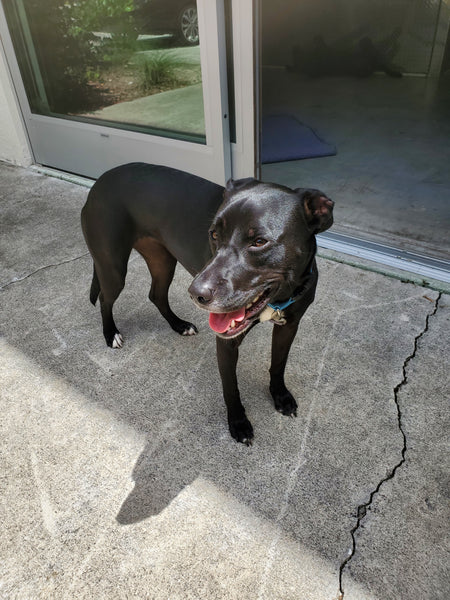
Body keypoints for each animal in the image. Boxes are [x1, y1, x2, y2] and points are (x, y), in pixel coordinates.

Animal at [81, 162, 334, 442]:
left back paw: (179, 325)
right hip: (113, 267)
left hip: (162, 261)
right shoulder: (227, 341)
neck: (278, 299)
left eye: (259, 242)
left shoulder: (288, 326)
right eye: (213, 234)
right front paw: (238, 422)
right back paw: (111, 333)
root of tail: (99, 183)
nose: (196, 294)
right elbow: (230, 386)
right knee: (105, 297)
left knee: (156, 294)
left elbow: (278, 364)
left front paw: (280, 396)